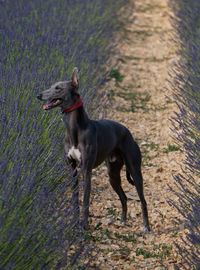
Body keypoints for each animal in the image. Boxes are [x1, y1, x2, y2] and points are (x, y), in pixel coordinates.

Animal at [37, 67, 150, 232]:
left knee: (143, 200)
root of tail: (127, 132)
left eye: (58, 88)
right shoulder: (72, 169)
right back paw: (123, 220)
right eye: (52, 86)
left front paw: (84, 225)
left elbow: (85, 200)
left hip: (134, 170)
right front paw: (74, 222)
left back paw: (146, 226)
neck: (75, 129)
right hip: (112, 174)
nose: (39, 95)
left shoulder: (87, 170)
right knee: (123, 197)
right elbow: (75, 199)